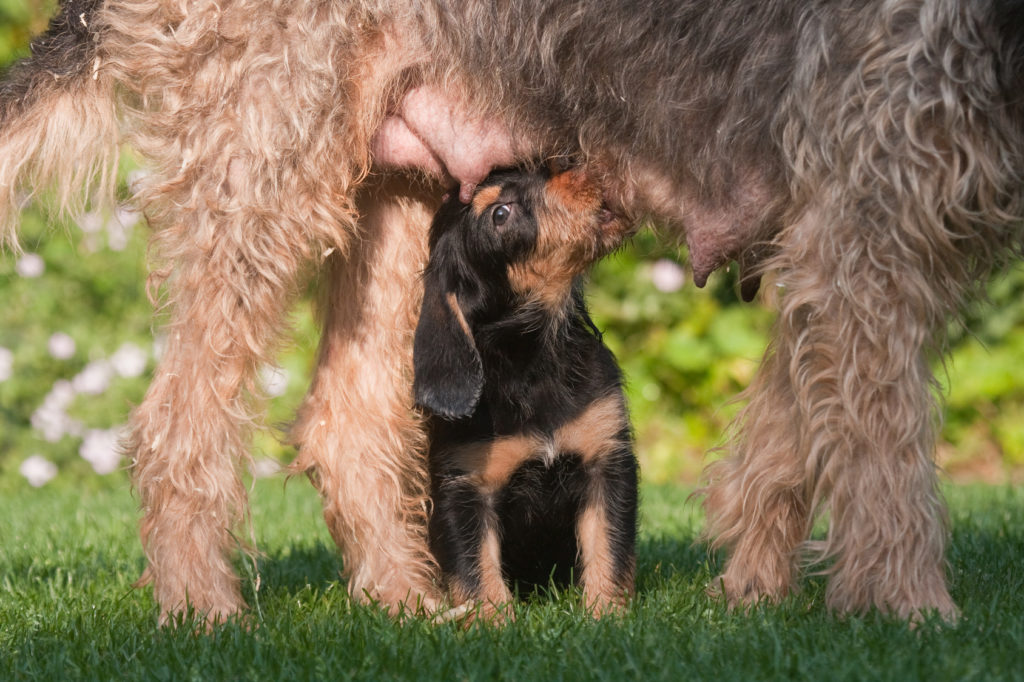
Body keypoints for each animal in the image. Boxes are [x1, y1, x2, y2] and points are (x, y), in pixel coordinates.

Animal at [411, 164, 634, 614]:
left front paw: (606, 615)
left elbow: (608, 547)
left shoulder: (606, 461)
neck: (531, 361)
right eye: (500, 214)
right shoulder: (465, 488)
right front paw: (493, 621)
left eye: (524, 170)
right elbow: (476, 568)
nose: (589, 168)